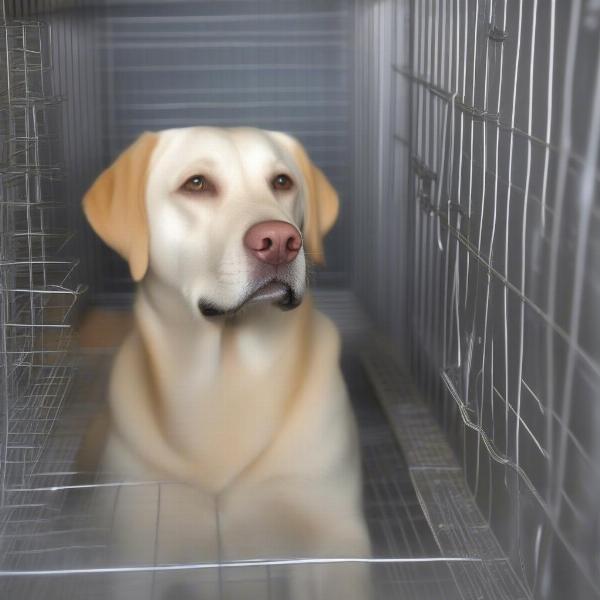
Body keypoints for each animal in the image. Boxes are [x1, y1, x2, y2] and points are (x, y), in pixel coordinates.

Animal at [79, 126, 370, 600]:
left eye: (282, 182)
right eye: (196, 184)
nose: (280, 242)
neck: (228, 377)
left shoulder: (334, 538)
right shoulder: (134, 555)